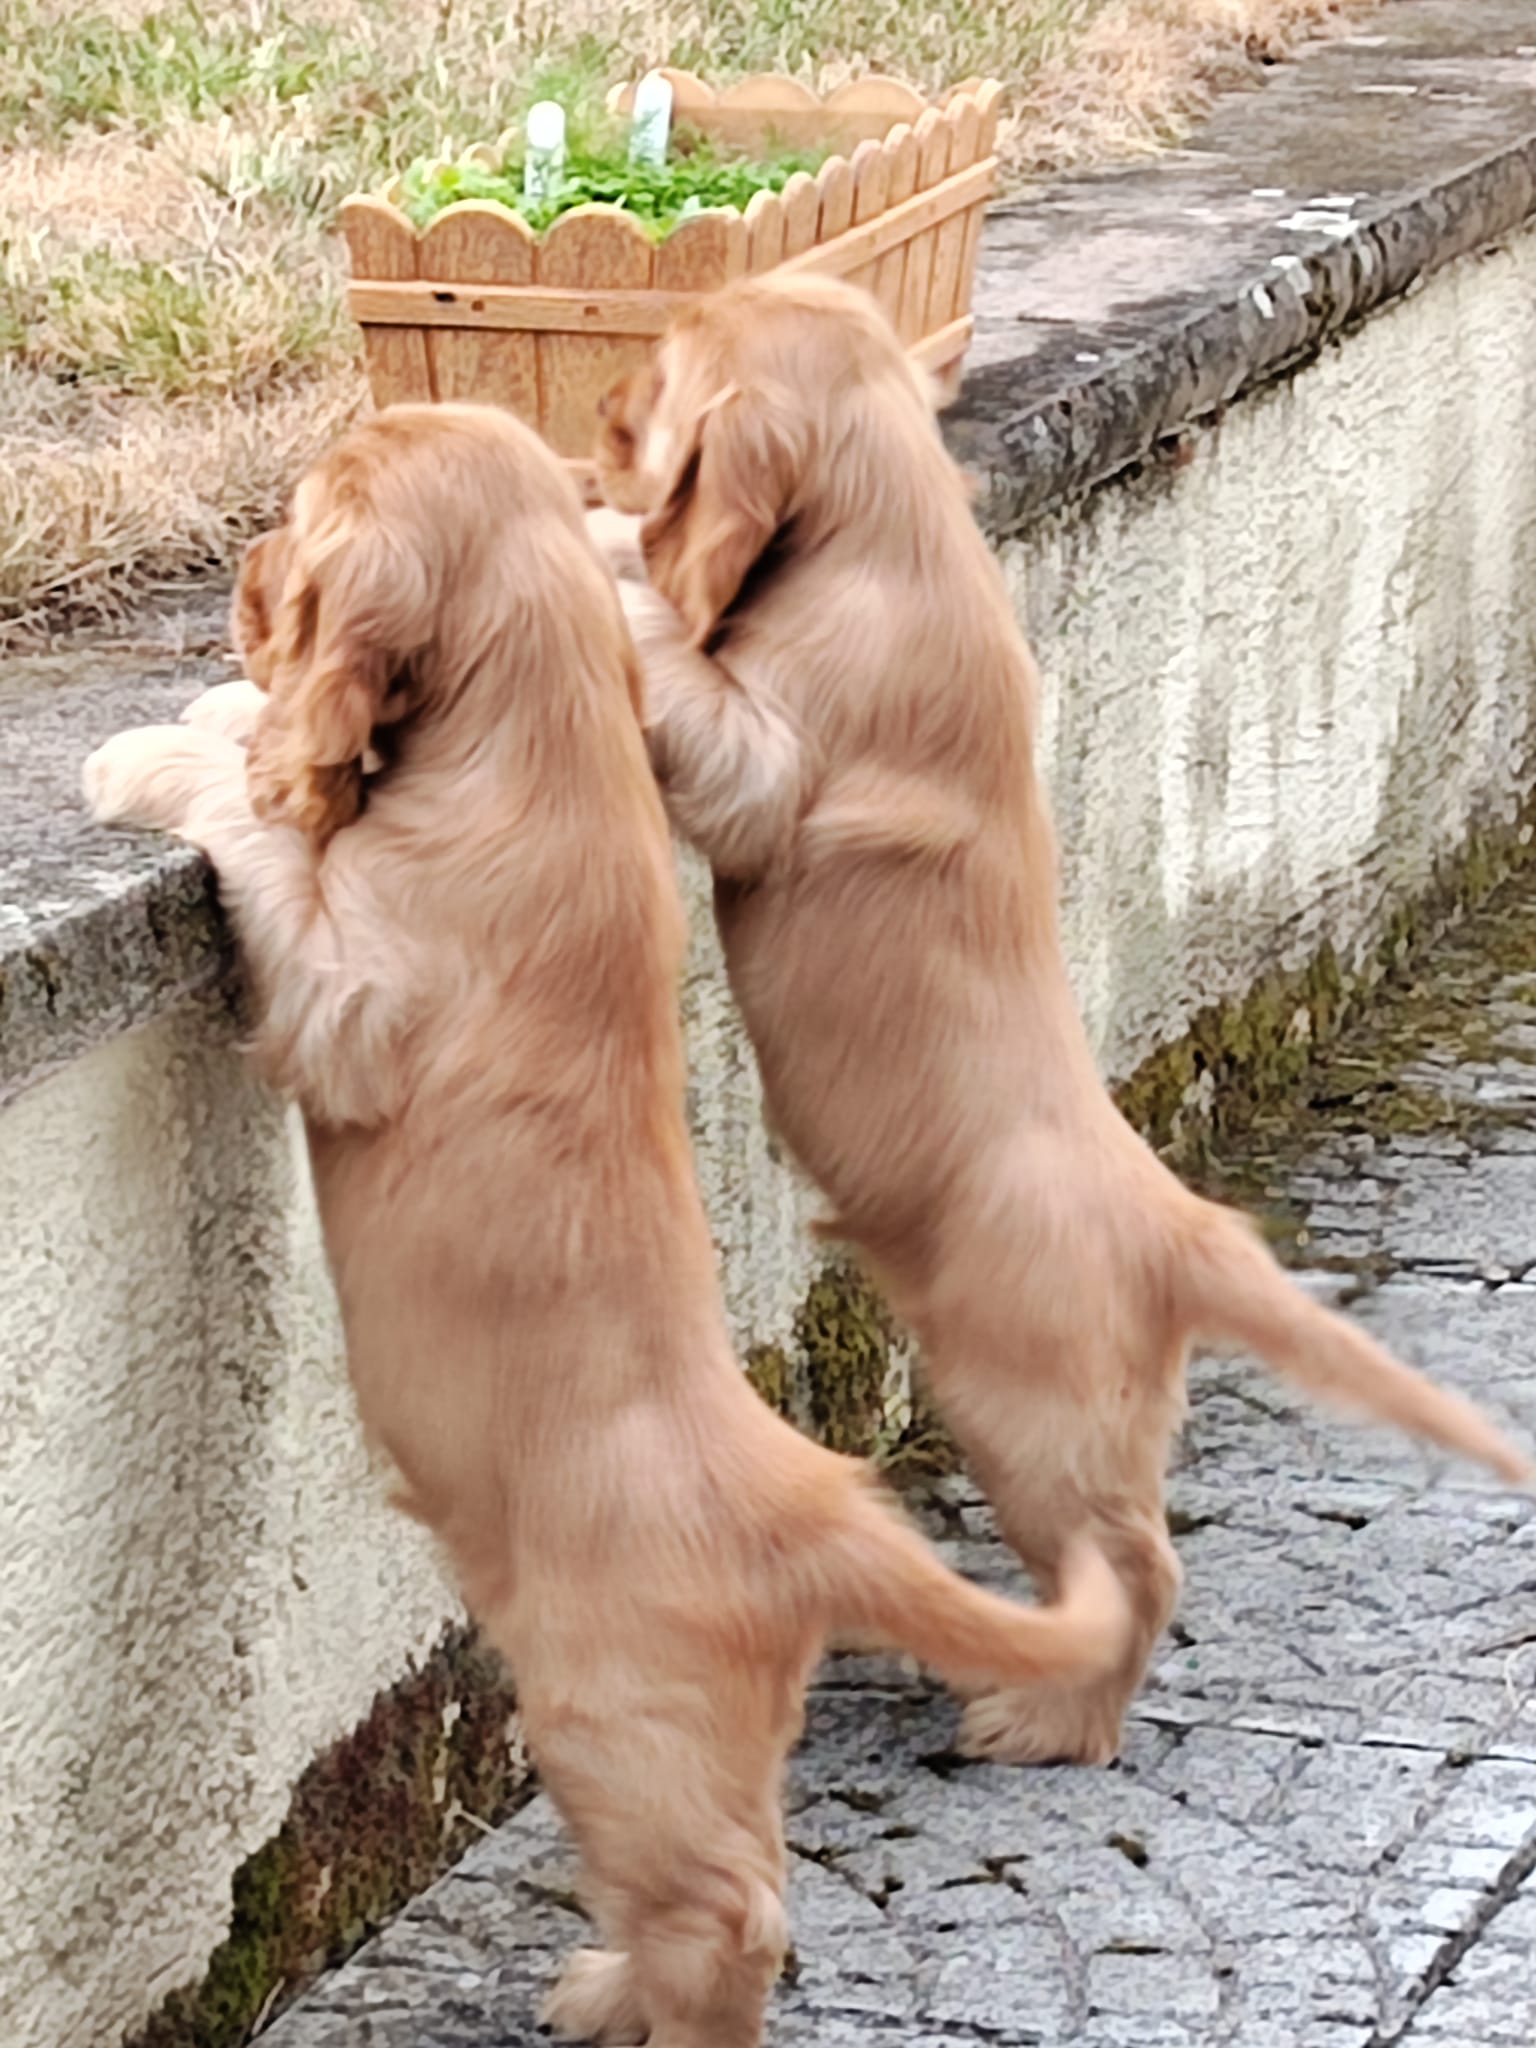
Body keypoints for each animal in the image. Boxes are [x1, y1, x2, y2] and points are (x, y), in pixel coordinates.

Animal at [83, 403, 1130, 2047]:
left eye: (301, 520)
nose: (240, 574)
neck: (541, 728)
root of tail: (815, 1509)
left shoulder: (343, 997)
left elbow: (257, 837)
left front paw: (161, 746)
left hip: (605, 1711)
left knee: (731, 1910)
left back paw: (646, 1997)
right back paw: (611, 1983)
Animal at [592, 273, 1533, 1770]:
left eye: (671, 368)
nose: (599, 415)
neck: (895, 527)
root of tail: (1182, 1233)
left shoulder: (764, 765)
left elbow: (689, 677)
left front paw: (608, 556)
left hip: (1021, 1407)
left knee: (1136, 1566)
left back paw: (1040, 1715)